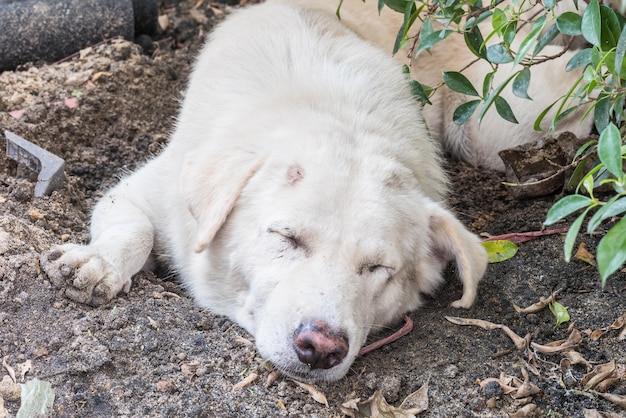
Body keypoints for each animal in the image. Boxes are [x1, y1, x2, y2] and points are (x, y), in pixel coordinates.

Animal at [40, 0, 488, 380]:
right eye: (286, 237)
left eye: (378, 267)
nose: (321, 348)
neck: (337, 119)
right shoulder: (143, 189)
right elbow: (136, 229)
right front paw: (99, 263)